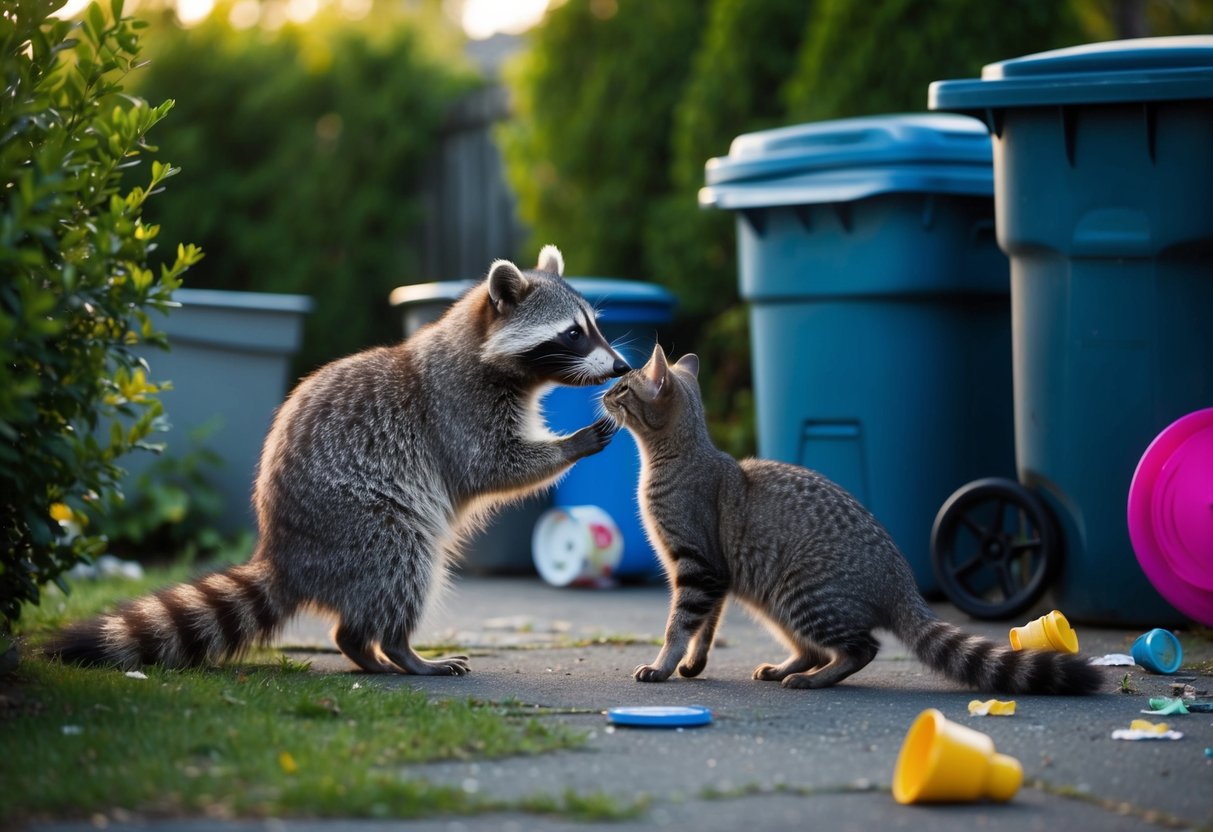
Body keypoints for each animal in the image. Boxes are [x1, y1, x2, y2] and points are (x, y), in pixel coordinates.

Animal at [48, 246, 629, 674]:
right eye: (572, 333)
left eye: (594, 326)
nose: (622, 366)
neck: (483, 348)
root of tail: (283, 555)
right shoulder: (457, 406)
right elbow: (492, 466)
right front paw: (570, 444)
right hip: (362, 524)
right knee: (404, 563)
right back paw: (397, 649)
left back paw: (364, 650)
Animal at [601, 345, 1102, 695]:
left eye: (623, 389)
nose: (604, 391)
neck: (676, 455)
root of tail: (905, 586)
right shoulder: (715, 576)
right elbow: (704, 628)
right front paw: (692, 663)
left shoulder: (697, 566)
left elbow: (680, 625)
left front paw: (663, 665)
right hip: (776, 601)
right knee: (811, 648)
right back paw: (790, 667)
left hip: (804, 592)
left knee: (863, 648)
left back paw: (814, 678)